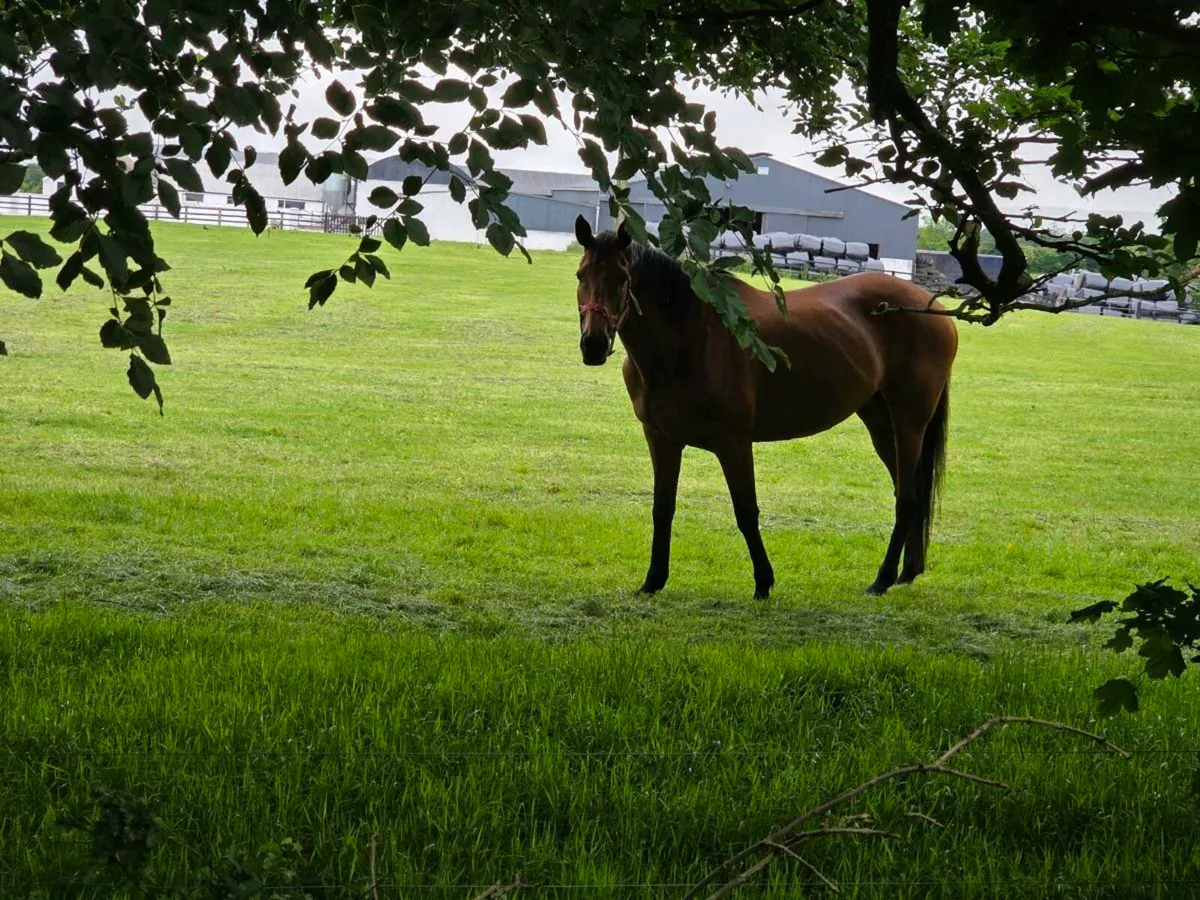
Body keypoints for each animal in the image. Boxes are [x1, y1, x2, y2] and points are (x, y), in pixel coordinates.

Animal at [572, 215, 959, 598]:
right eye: (581, 275)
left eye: (623, 279)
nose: (593, 345)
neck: (689, 338)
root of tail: (933, 308)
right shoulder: (661, 439)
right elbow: (662, 508)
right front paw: (653, 581)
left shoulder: (734, 443)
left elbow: (746, 511)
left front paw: (763, 582)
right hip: (880, 424)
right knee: (911, 492)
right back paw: (908, 571)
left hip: (909, 423)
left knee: (907, 497)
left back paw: (882, 579)